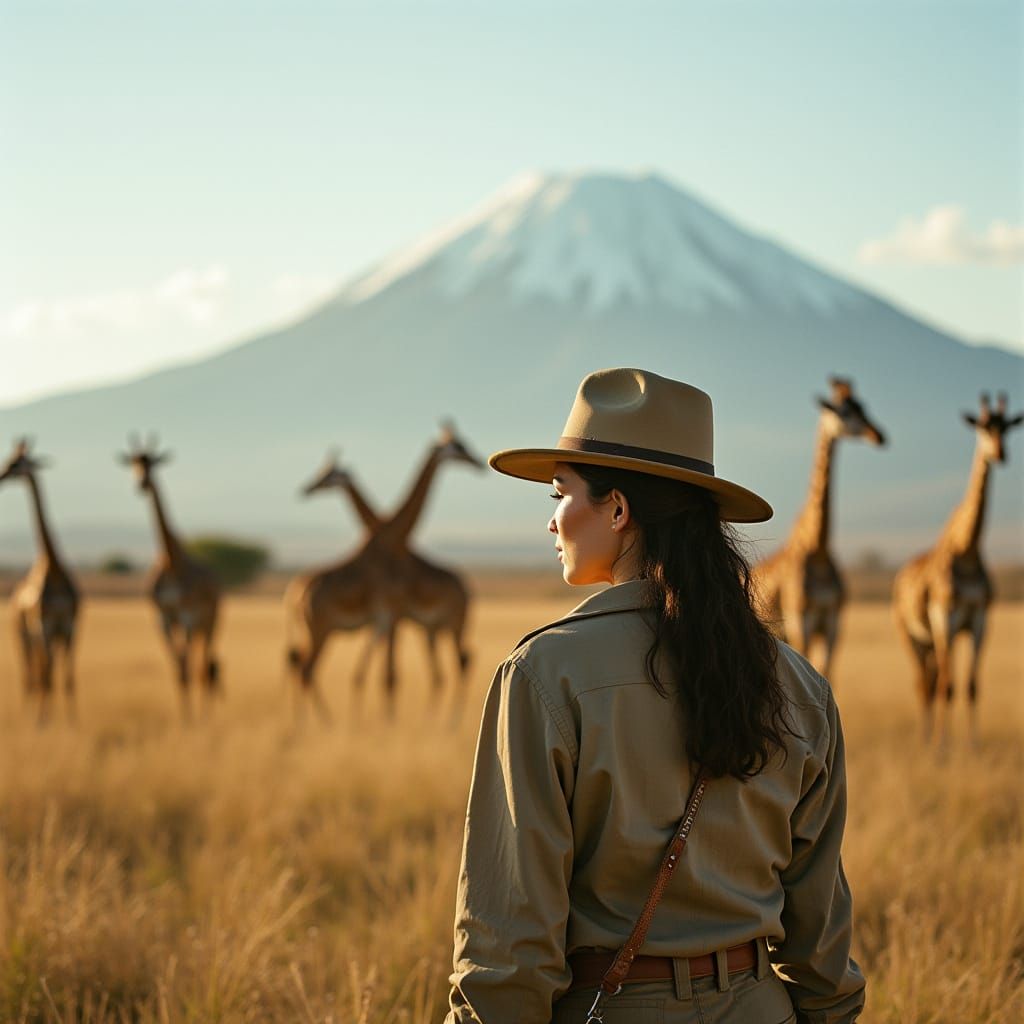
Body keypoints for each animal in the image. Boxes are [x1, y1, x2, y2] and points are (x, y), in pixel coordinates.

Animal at [0, 438, 80, 721]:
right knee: (31, 675)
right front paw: (43, 721)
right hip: (22, 633)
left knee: (42, 671)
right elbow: (47, 676)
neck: (53, 567)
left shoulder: (69, 627)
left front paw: (72, 723)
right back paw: (32, 715)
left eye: (17, 462)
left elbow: (67, 679)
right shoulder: (43, 627)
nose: (1, 475)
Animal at [119, 436, 221, 719]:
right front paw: (184, 718)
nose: (142, 483)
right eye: (134, 463)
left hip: (210, 622)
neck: (169, 559)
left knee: (204, 663)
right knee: (196, 664)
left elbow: (188, 665)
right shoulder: (163, 618)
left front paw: (193, 719)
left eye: (153, 462)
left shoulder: (187, 617)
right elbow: (178, 669)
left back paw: (206, 713)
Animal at [285, 422, 481, 718]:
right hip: (324, 629)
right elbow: (382, 676)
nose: (478, 462)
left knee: (458, 665)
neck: (389, 536)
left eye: (327, 473)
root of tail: (294, 595)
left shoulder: (388, 616)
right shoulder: (390, 614)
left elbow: (378, 675)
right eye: (459, 445)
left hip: (445, 624)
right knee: (304, 668)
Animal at [753, 377, 887, 677]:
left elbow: (827, 671)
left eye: (864, 406)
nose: (879, 436)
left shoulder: (833, 622)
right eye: (844, 411)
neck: (820, 549)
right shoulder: (801, 618)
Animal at [893, 392, 1022, 746]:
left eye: (1007, 428)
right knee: (924, 684)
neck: (968, 551)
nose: (1000, 454)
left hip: (930, 640)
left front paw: (973, 748)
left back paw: (927, 739)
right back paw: (926, 742)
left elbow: (972, 687)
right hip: (911, 634)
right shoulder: (944, 618)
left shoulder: (979, 620)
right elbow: (947, 688)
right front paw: (943, 751)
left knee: (930, 680)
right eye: (981, 427)